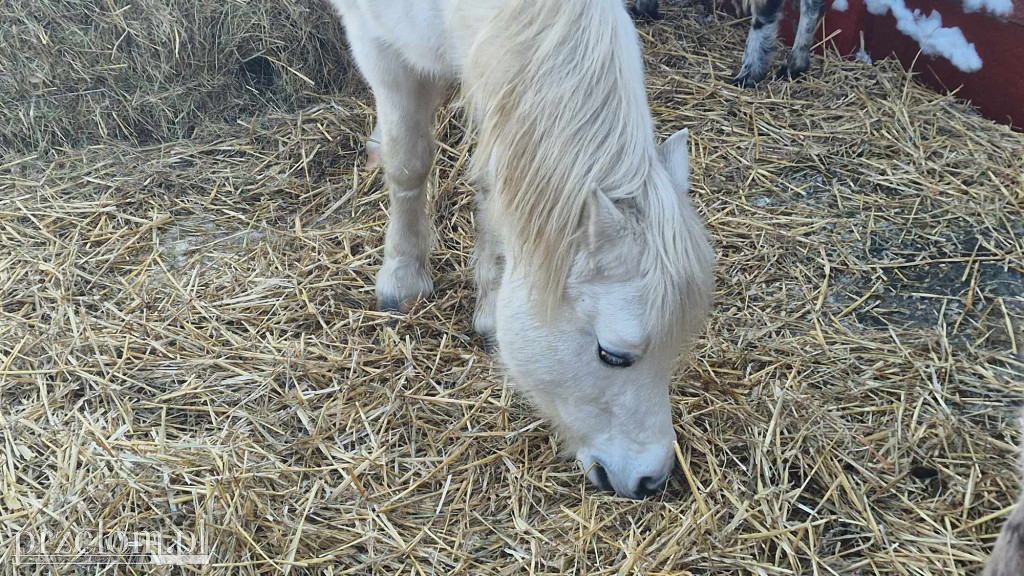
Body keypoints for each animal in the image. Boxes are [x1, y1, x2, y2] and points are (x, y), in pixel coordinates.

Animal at [333, 0, 712, 496]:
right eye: (613, 355)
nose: (653, 479)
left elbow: (495, 191)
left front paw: (489, 309)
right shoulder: (378, 46)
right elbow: (408, 162)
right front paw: (402, 277)